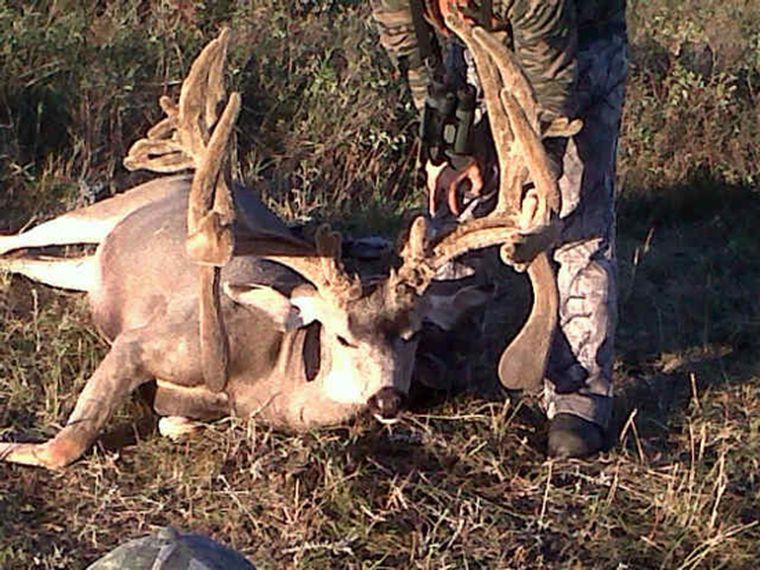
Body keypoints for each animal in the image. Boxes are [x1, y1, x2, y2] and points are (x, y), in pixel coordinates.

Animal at [0, 15, 568, 470]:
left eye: (412, 333)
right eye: (342, 336)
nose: (387, 400)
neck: (273, 369)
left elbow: (175, 422)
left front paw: (176, 416)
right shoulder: (143, 341)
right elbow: (67, 443)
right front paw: (13, 447)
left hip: (84, 266)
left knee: (32, 260)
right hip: (103, 211)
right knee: (16, 236)